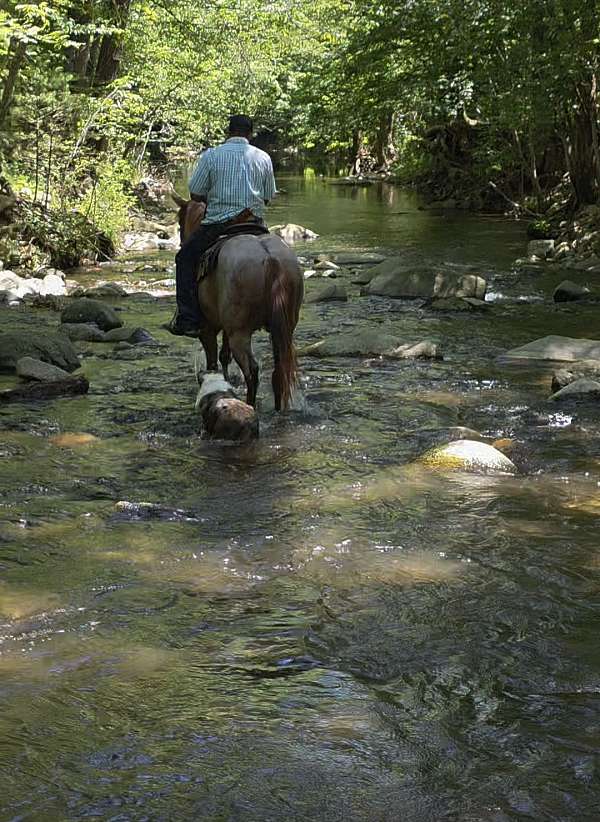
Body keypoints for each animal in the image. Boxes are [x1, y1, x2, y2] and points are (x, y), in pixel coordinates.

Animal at [171, 193, 304, 411]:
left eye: (180, 221)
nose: (182, 241)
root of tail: (270, 259)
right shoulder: (225, 326)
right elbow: (224, 356)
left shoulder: (208, 329)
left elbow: (212, 364)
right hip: (283, 328)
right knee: (278, 371)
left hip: (239, 334)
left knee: (252, 371)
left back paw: (249, 405)